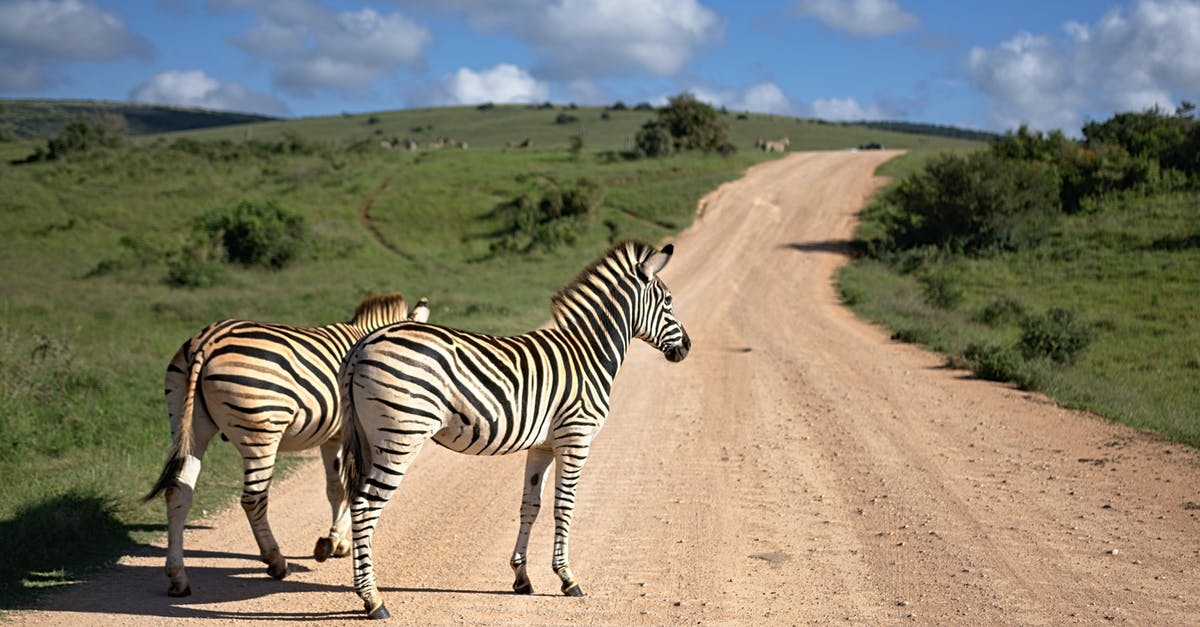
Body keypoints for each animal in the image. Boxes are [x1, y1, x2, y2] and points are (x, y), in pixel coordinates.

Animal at [144, 293, 432, 595]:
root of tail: (206, 341)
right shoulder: (352, 434)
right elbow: (351, 488)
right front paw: (334, 541)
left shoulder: (333, 436)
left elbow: (336, 489)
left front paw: (336, 542)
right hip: (260, 431)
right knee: (253, 499)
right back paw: (276, 560)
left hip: (188, 425)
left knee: (178, 493)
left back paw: (178, 577)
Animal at [338, 239, 696, 614]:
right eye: (668, 301)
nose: (687, 347)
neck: (589, 353)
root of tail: (361, 347)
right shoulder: (576, 438)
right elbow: (564, 505)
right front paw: (568, 578)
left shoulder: (543, 446)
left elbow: (530, 505)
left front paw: (521, 577)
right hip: (400, 437)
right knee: (365, 507)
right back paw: (373, 599)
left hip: (370, 438)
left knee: (357, 501)